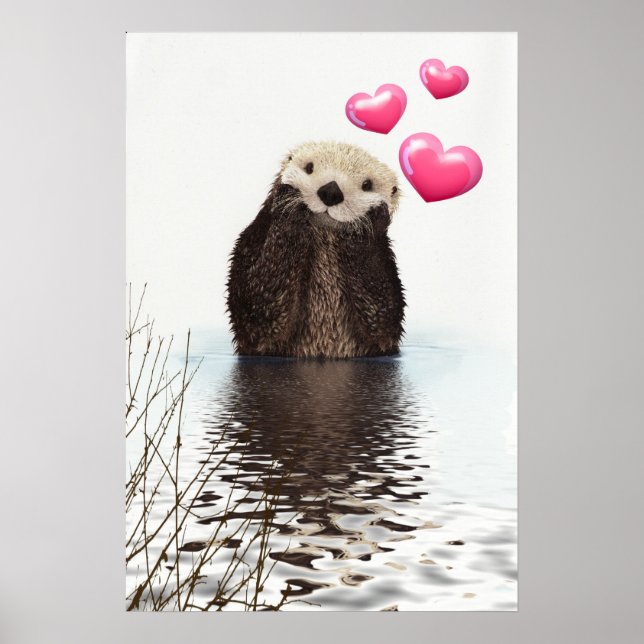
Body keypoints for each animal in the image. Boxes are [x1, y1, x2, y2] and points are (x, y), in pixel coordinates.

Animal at [226, 141, 405, 358]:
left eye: (367, 185)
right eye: (309, 167)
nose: (331, 191)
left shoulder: (385, 265)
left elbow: (383, 316)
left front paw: (368, 221)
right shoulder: (251, 242)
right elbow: (258, 308)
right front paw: (289, 203)